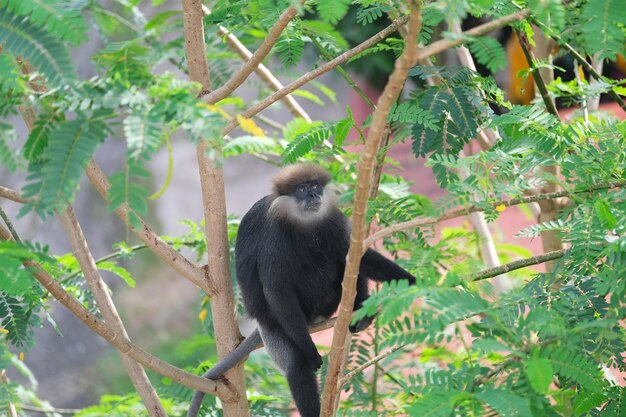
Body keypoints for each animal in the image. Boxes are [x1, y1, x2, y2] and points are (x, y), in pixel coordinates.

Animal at [190, 164, 414, 416]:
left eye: (315, 185)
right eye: (302, 188)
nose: (313, 195)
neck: (302, 221)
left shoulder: (330, 219)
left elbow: (356, 255)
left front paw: (412, 281)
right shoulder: (273, 236)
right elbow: (276, 289)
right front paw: (311, 351)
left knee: (343, 260)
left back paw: (360, 313)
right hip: (276, 326)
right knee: (296, 366)